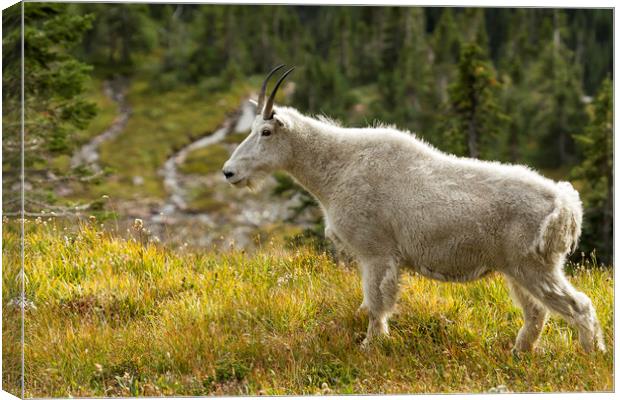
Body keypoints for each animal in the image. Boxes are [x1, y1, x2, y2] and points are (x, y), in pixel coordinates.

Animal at [222, 65, 604, 354]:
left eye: (266, 132)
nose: (229, 172)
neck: (337, 167)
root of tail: (565, 205)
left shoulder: (376, 252)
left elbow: (377, 303)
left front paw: (370, 347)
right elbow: (370, 303)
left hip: (535, 266)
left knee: (578, 306)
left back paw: (590, 355)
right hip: (516, 269)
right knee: (537, 313)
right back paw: (518, 353)